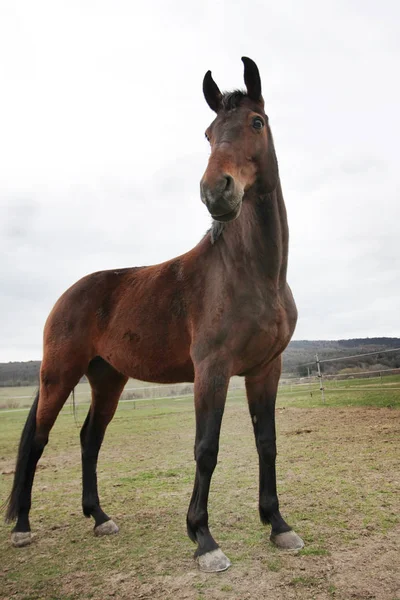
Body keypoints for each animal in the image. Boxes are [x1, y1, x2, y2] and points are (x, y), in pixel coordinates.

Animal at [4, 57, 304, 572]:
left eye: (256, 122)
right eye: (208, 133)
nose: (215, 192)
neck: (251, 273)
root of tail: (69, 294)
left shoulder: (267, 369)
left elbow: (267, 442)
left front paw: (278, 525)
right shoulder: (212, 371)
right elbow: (206, 449)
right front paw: (204, 539)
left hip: (107, 378)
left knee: (89, 439)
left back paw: (100, 517)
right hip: (59, 375)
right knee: (37, 441)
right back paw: (23, 527)